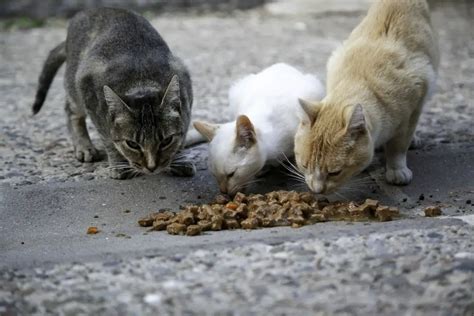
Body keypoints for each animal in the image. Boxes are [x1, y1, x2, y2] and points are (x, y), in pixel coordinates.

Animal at [32, 7, 194, 179]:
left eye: (166, 141)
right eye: (132, 144)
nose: (152, 167)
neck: (141, 79)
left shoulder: (185, 89)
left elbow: (182, 134)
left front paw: (179, 159)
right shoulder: (90, 95)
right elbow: (109, 139)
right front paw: (119, 164)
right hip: (75, 89)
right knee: (70, 111)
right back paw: (84, 146)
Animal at [294, 0, 438, 194]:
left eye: (334, 172)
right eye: (304, 165)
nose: (316, 190)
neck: (358, 79)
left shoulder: (412, 109)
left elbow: (398, 146)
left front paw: (396, 169)